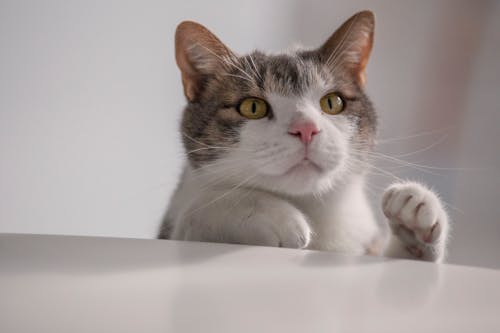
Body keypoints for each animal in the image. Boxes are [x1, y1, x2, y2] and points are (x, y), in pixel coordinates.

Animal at [159, 10, 450, 260]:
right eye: (252, 107)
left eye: (332, 102)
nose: (306, 128)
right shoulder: (175, 224)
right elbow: (194, 214)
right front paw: (272, 214)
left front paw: (412, 217)